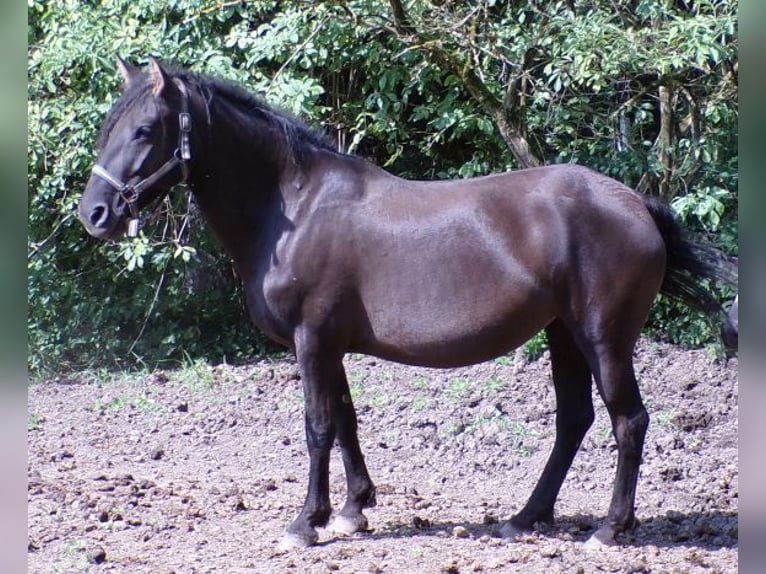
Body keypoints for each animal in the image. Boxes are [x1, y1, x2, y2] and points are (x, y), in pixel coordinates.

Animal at [78, 57, 735, 550]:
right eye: (107, 128)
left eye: (145, 130)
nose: (95, 215)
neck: (292, 207)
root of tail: (637, 204)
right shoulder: (331, 346)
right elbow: (345, 419)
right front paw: (352, 510)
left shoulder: (312, 340)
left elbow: (318, 425)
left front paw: (306, 522)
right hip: (562, 334)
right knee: (574, 420)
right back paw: (526, 517)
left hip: (603, 337)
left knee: (629, 421)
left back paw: (610, 528)